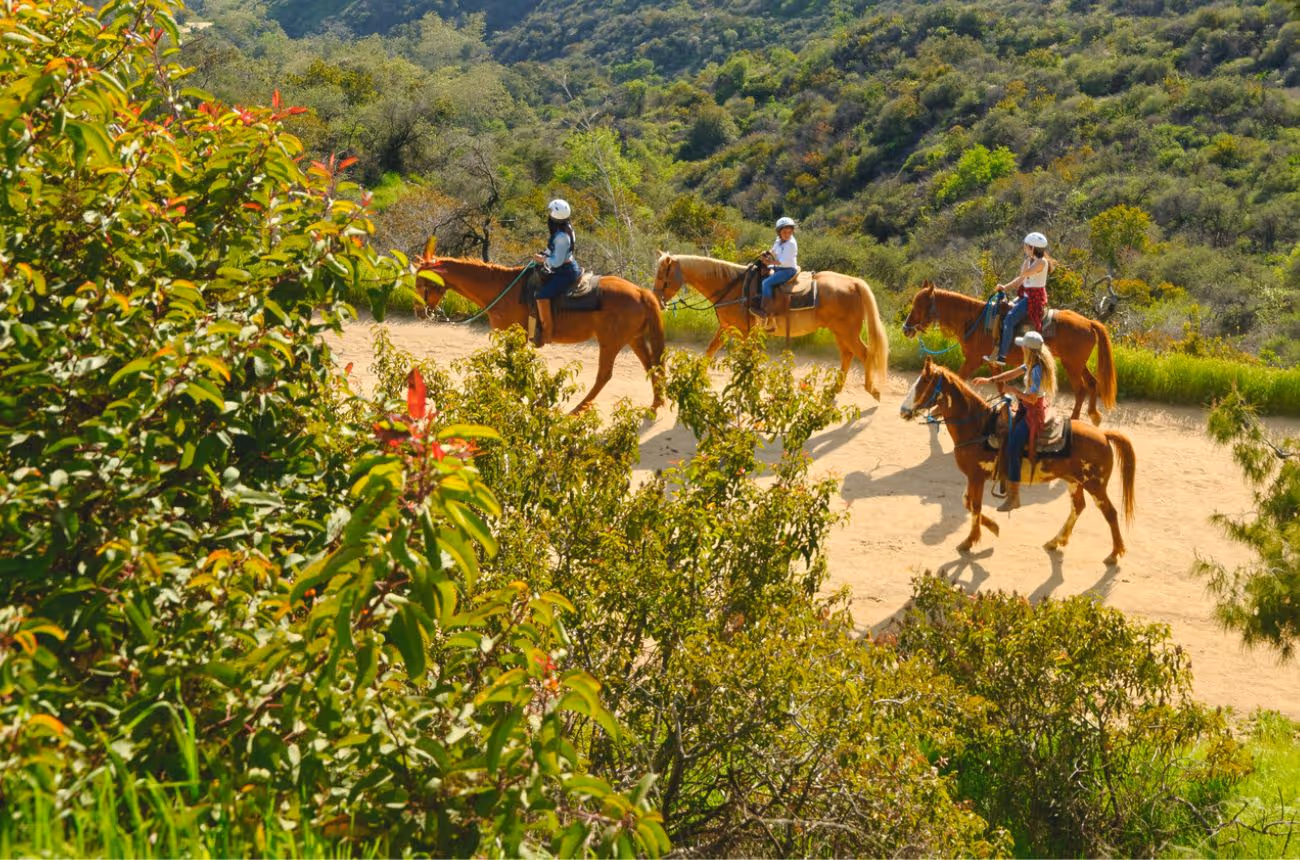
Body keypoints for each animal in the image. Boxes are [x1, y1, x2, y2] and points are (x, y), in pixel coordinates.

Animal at [417, 256, 665, 414]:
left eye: (422, 282)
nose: (419, 312)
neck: (502, 289)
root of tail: (640, 292)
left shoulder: (514, 337)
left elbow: (512, 367)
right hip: (634, 339)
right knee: (651, 366)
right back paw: (656, 403)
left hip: (610, 342)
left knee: (604, 375)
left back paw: (578, 408)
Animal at [652, 252, 889, 400]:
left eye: (663, 275)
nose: (656, 299)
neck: (733, 287)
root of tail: (854, 283)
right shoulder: (727, 328)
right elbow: (710, 351)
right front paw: (695, 377)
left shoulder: (745, 332)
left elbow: (749, 358)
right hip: (839, 332)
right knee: (847, 355)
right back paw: (836, 388)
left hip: (847, 332)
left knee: (865, 354)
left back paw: (872, 390)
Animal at [899, 358, 1135, 565]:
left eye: (924, 383)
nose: (903, 411)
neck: (980, 427)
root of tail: (1103, 435)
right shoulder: (974, 478)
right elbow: (968, 502)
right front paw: (993, 527)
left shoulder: (976, 477)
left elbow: (974, 505)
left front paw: (969, 541)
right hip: (1074, 480)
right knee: (1078, 507)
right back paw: (1056, 541)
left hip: (1095, 484)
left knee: (1110, 513)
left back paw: (1115, 553)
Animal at [901, 281, 1117, 425]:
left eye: (918, 306)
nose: (906, 329)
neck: (974, 321)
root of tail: (1089, 322)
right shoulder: (992, 362)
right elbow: (1000, 385)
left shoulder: (972, 361)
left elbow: (959, 378)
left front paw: (938, 409)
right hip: (1078, 364)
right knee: (1092, 383)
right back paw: (1093, 415)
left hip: (1071, 364)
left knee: (1080, 389)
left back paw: (1074, 420)